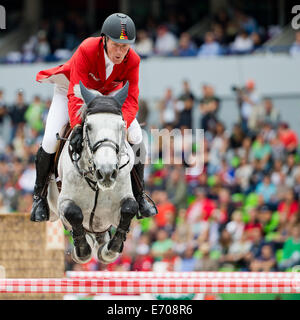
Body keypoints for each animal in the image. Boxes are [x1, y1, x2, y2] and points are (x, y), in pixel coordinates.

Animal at [48, 81, 139, 264]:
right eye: (88, 127)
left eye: (122, 126)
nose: (106, 172)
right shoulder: (63, 203)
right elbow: (73, 212)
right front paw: (82, 250)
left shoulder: (116, 211)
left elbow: (130, 208)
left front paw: (110, 250)